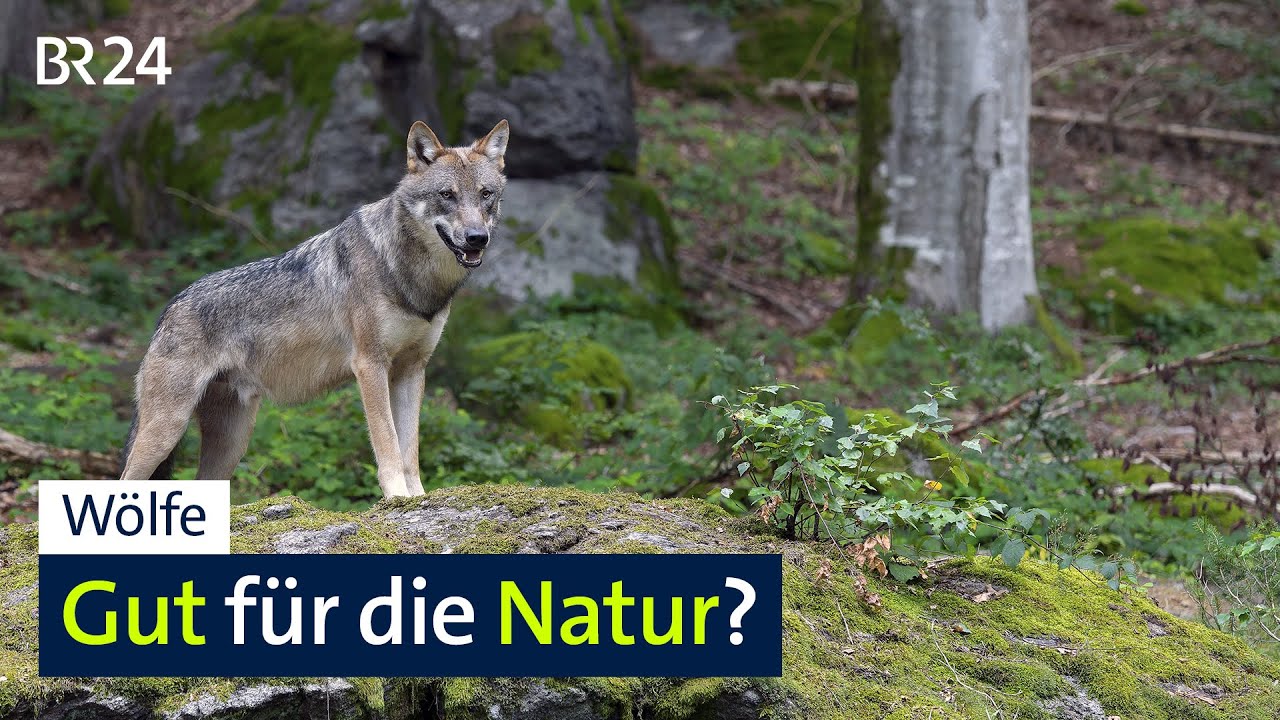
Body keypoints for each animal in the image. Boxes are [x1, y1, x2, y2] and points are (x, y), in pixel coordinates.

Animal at [119, 120, 510, 498]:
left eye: (485, 194)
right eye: (447, 195)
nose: (477, 238)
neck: (411, 274)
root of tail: (169, 308)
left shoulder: (412, 370)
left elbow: (409, 451)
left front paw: (418, 499)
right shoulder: (370, 366)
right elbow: (388, 445)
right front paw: (398, 500)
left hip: (231, 442)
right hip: (167, 429)